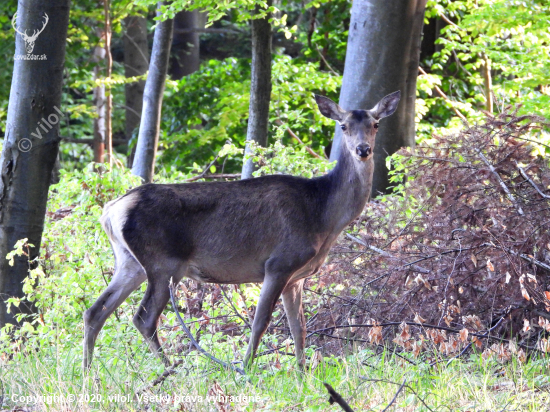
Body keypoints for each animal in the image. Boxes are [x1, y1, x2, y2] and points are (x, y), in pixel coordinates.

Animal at [83, 90, 402, 370]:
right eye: (344, 126)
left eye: (375, 124)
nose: (363, 150)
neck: (322, 216)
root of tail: (111, 211)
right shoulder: (278, 263)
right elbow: (260, 322)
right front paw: (246, 370)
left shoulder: (296, 277)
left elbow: (299, 327)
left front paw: (303, 374)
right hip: (163, 262)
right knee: (143, 318)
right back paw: (169, 369)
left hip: (130, 262)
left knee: (94, 311)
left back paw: (89, 375)